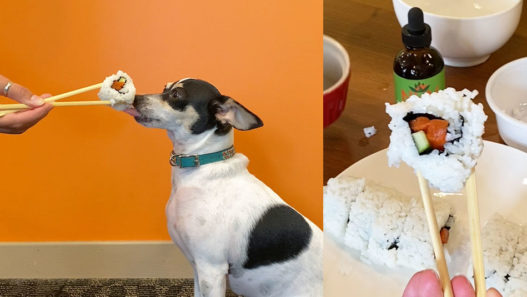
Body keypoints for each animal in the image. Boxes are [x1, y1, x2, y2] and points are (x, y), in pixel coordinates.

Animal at [127, 78, 326, 296]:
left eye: (176, 95)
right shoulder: (198, 270)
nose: (135, 98)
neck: (201, 167)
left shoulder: (211, 270)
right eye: (165, 87)